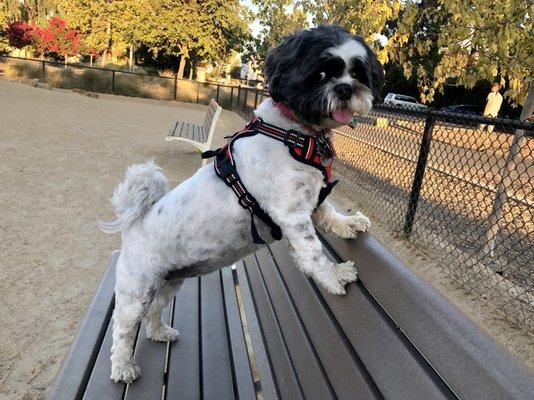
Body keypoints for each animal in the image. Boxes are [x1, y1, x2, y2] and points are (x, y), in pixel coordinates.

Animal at [100, 25, 386, 384]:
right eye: (320, 74)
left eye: (357, 73)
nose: (346, 88)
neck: (293, 134)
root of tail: (136, 223)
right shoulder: (292, 214)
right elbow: (312, 252)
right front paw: (333, 276)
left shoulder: (312, 200)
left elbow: (330, 213)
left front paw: (349, 224)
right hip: (136, 290)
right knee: (123, 329)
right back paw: (123, 367)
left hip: (170, 280)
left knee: (155, 310)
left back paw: (158, 332)